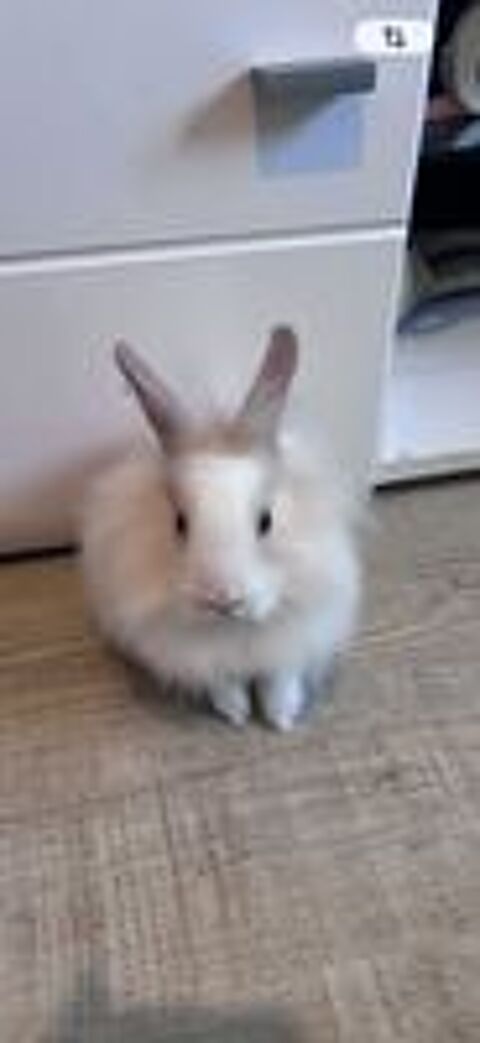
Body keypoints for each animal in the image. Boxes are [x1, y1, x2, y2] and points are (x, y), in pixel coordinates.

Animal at [81, 327, 360, 731]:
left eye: (266, 521)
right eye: (180, 523)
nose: (223, 599)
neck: (234, 631)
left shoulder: (299, 636)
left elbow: (281, 677)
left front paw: (280, 718)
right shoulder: (194, 656)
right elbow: (222, 682)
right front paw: (237, 714)